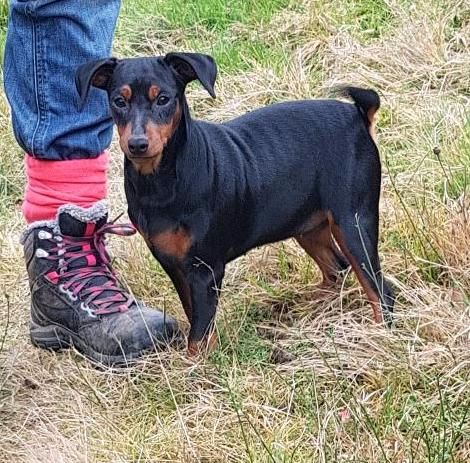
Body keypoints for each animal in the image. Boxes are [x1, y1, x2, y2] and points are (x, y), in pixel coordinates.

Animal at [76, 51, 392, 356]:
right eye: (119, 101)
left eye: (163, 99)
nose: (137, 144)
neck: (160, 179)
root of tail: (356, 117)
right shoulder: (175, 265)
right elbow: (197, 316)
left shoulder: (204, 268)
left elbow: (199, 330)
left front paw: (197, 366)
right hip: (308, 225)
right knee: (336, 268)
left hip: (352, 223)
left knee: (380, 292)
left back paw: (379, 337)